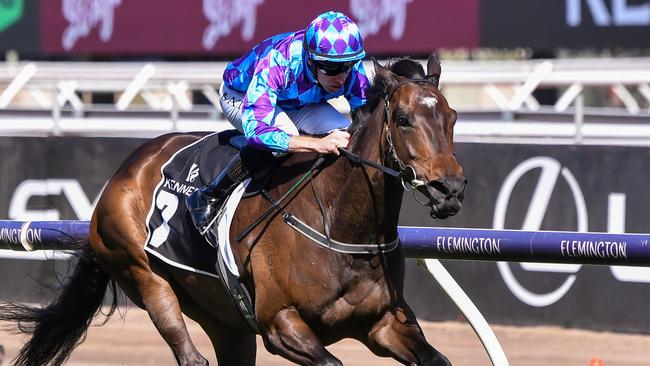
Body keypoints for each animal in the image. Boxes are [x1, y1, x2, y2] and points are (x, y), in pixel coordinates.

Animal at [1, 55, 466, 364]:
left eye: (452, 116)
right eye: (403, 119)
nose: (449, 188)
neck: (343, 226)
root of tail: (123, 172)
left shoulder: (384, 323)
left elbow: (436, 358)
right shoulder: (280, 323)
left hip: (225, 320)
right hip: (144, 275)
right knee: (188, 351)